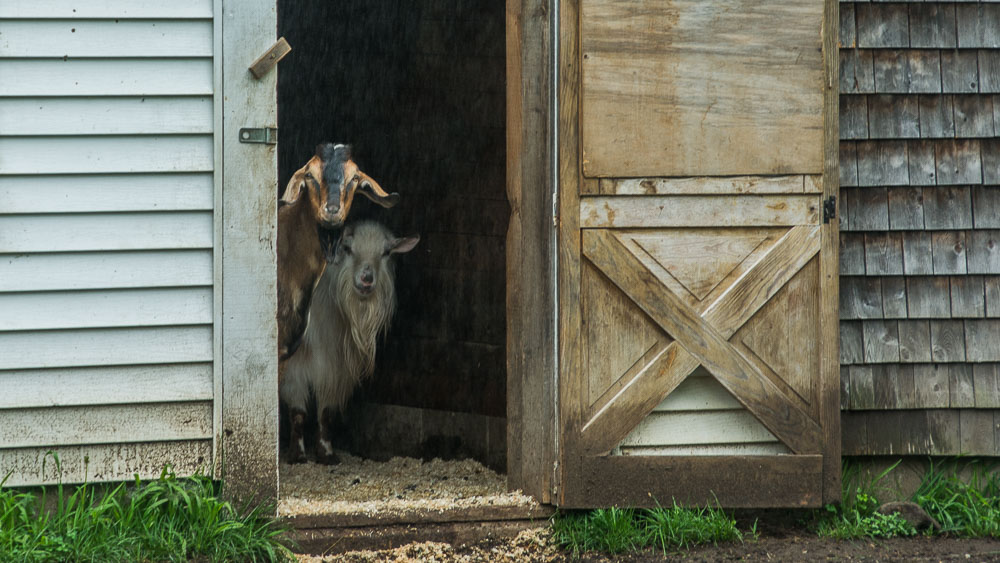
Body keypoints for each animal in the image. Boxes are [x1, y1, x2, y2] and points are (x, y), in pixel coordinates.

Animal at [280, 221, 419, 464]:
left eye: (386, 252)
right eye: (347, 248)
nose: (367, 279)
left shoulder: (337, 370)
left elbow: (326, 413)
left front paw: (327, 454)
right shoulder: (294, 369)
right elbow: (298, 413)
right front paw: (297, 455)